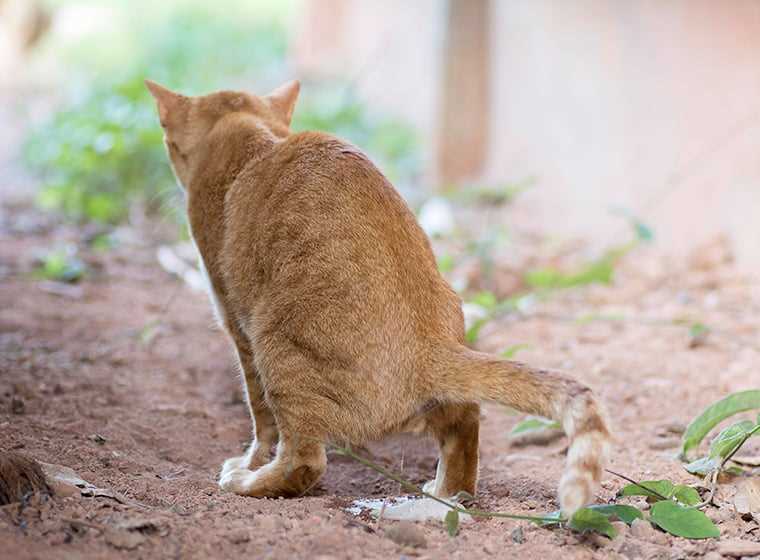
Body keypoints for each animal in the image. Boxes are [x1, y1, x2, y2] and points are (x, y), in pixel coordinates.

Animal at [147, 79, 612, 516]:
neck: (247, 133)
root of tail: (429, 345)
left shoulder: (237, 325)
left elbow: (261, 420)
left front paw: (250, 462)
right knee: (465, 426)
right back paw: (446, 492)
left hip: (275, 345)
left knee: (304, 462)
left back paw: (249, 483)